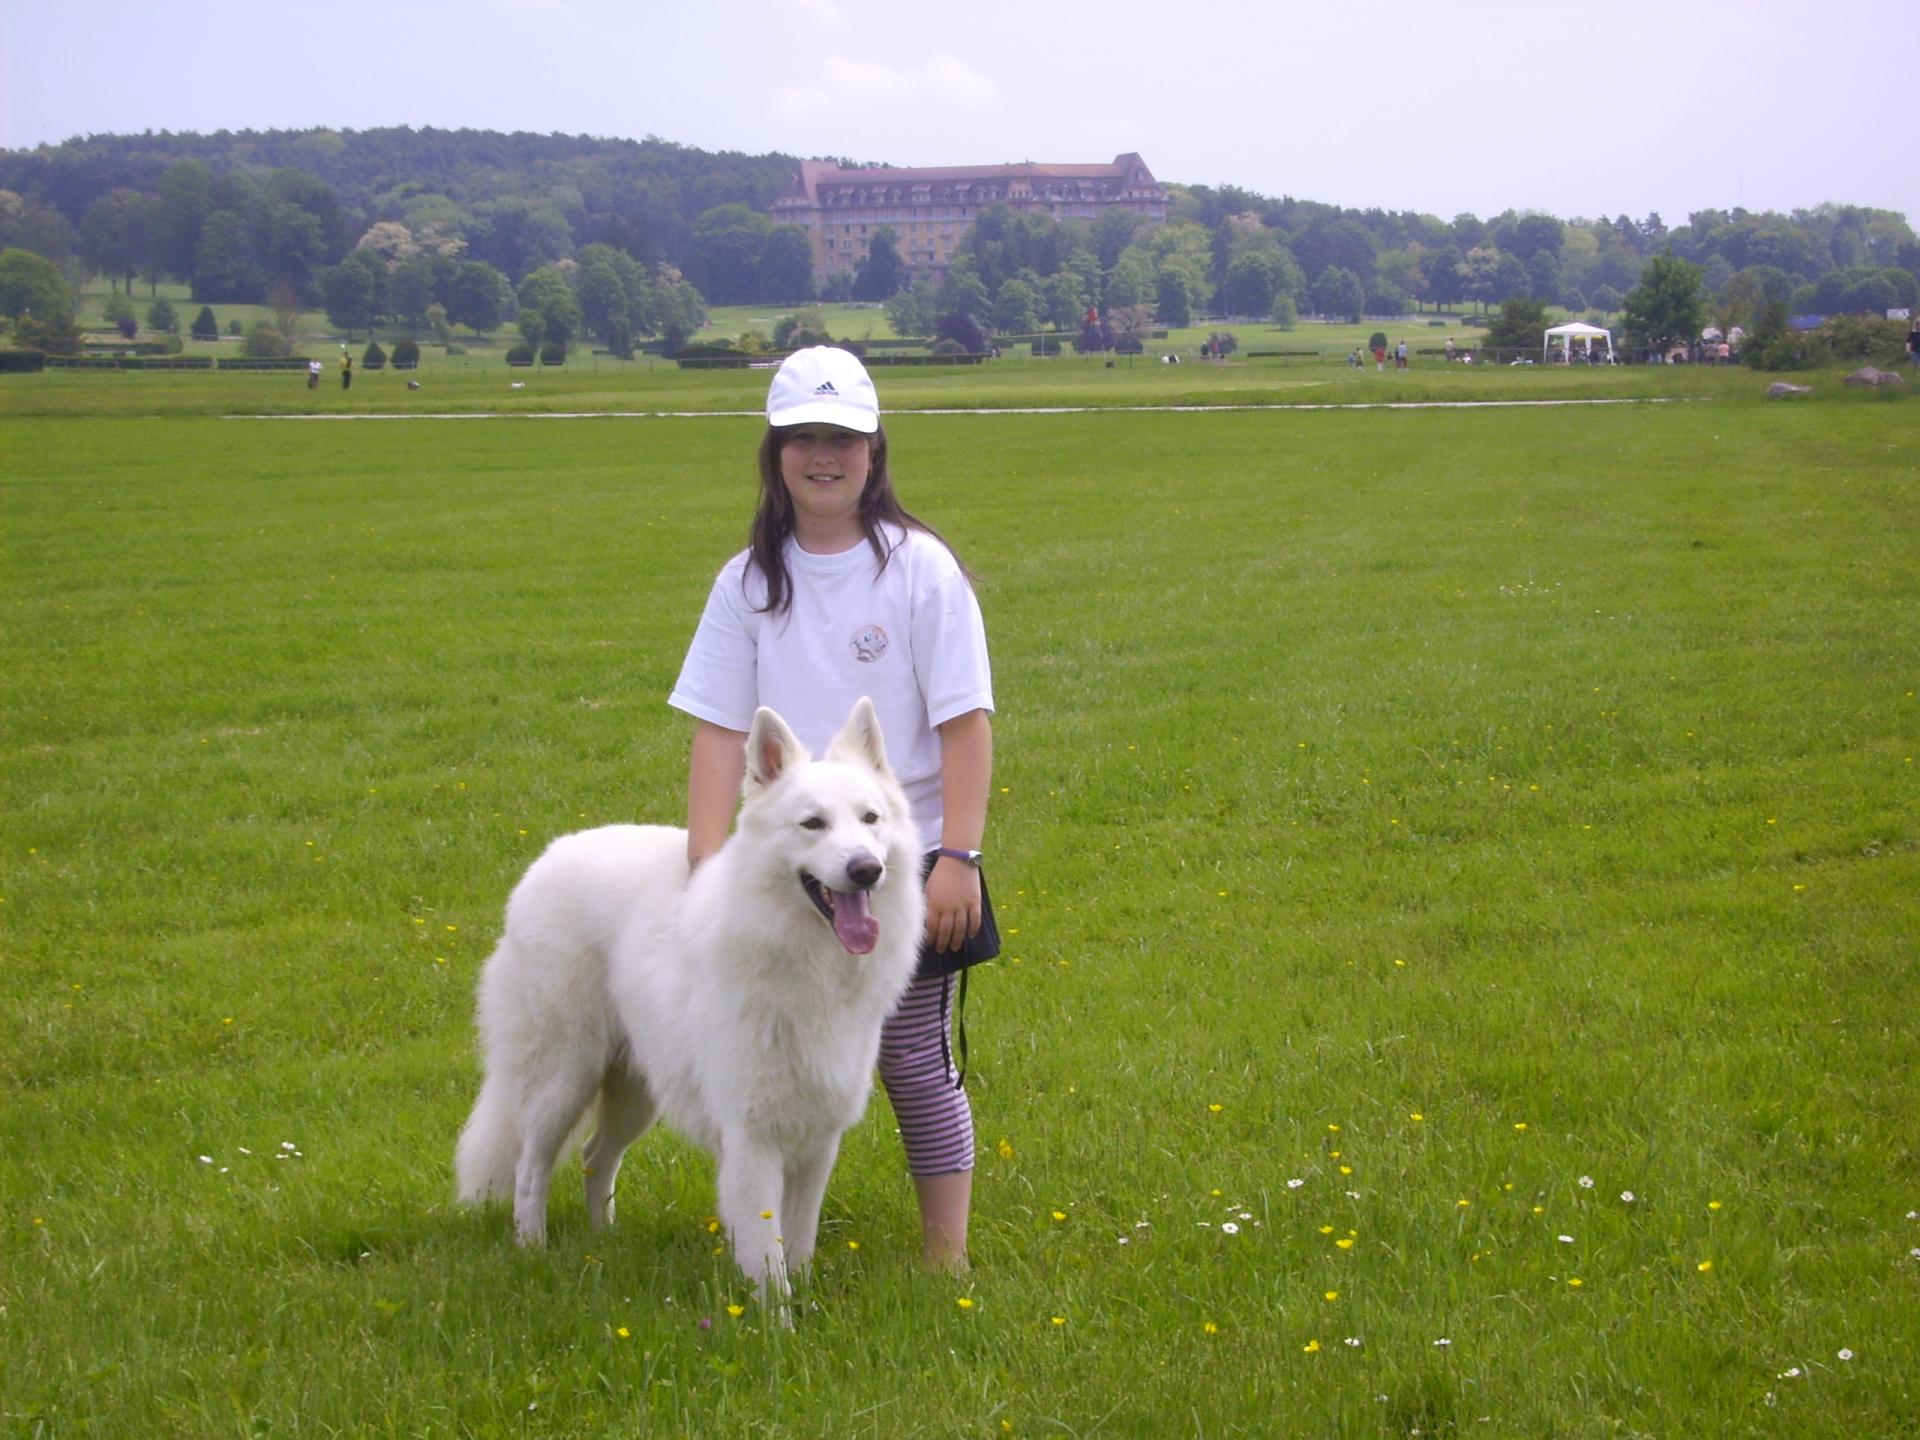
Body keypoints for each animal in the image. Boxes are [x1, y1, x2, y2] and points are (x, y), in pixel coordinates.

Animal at [456, 698, 921, 1297]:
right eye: (813, 824)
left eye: (870, 819)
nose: (867, 868)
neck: (806, 963)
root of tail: (546, 860)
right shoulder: (752, 1143)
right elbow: (769, 1264)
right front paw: (776, 1319)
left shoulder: (818, 1141)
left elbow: (799, 1248)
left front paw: (806, 1306)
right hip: (562, 1080)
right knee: (531, 1169)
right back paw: (532, 1248)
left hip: (636, 1091)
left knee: (594, 1156)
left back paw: (602, 1241)